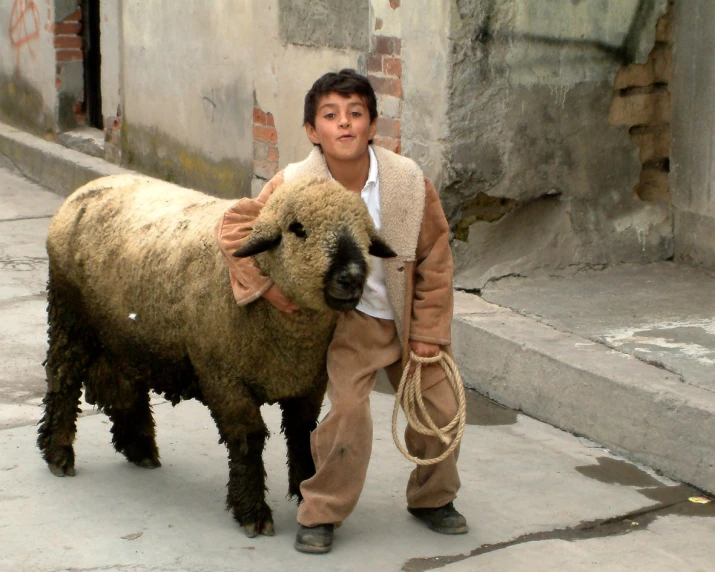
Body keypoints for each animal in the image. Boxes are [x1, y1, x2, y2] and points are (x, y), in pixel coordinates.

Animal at [37, 173, 398, 536]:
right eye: (298, 229)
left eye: (364, 231)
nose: (351, 278)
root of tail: (89, 187)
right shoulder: (224, 378)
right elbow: (249, 439)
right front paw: (252, 511)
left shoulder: (308, 379)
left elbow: (303, 433)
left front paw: (307, 492)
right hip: (70, 314)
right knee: (63, 379)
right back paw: (58, 453)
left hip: (124, 332)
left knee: (123, 385)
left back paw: (139, 448)